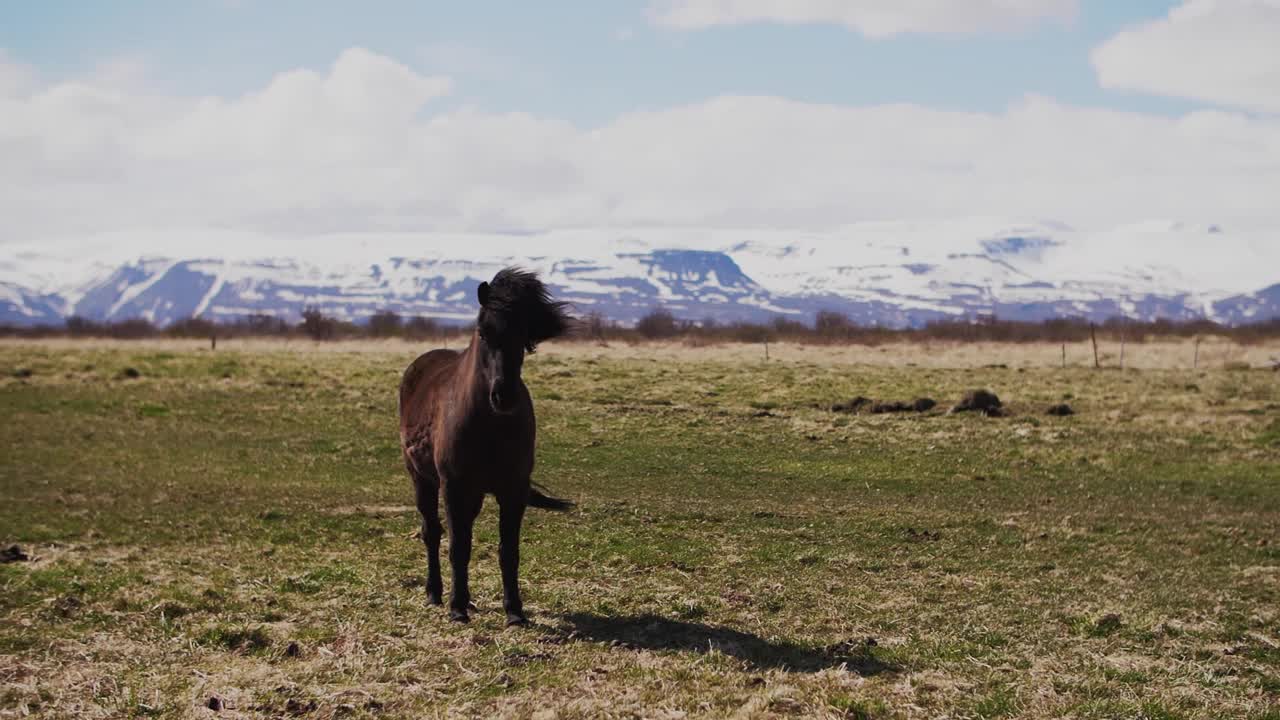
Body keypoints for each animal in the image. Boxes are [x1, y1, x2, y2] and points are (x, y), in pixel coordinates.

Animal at [399, 266, 576, 620]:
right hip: (422, 480)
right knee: (432, 532)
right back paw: (435, 593)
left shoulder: (512, 488)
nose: (503, 395)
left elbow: (508, 550)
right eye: (483, 333)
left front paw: (515, 612)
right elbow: (458, 546)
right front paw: (456, 609)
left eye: (524, 337)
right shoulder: (453, 486)